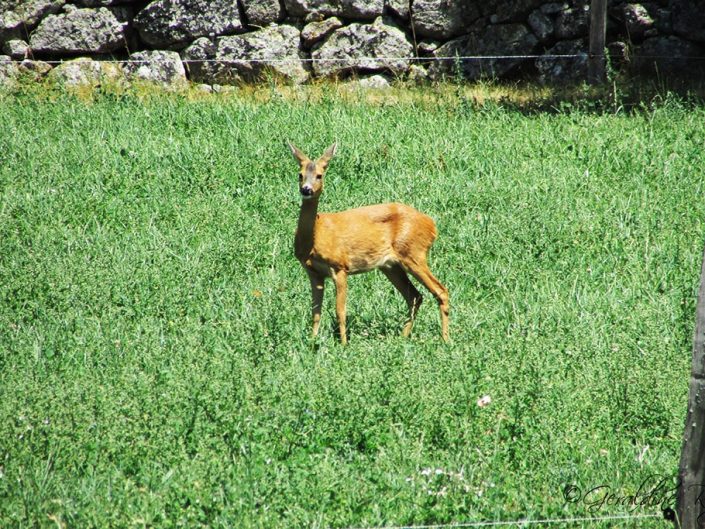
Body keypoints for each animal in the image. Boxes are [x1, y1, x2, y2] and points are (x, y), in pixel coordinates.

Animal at [288, 142, 448, 344]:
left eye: (319, 175)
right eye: (300, 174)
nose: (306, 189)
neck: (314, 238)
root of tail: (432, 225)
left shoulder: (340, 266)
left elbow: (340, 311)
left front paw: (343, 344)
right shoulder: (313, 272)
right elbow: (315, 312)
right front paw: (311, 342)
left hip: (414, 252)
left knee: (440, 290)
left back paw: (446, 339)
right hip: (391, 265)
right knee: (415, 296)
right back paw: (402, 338)